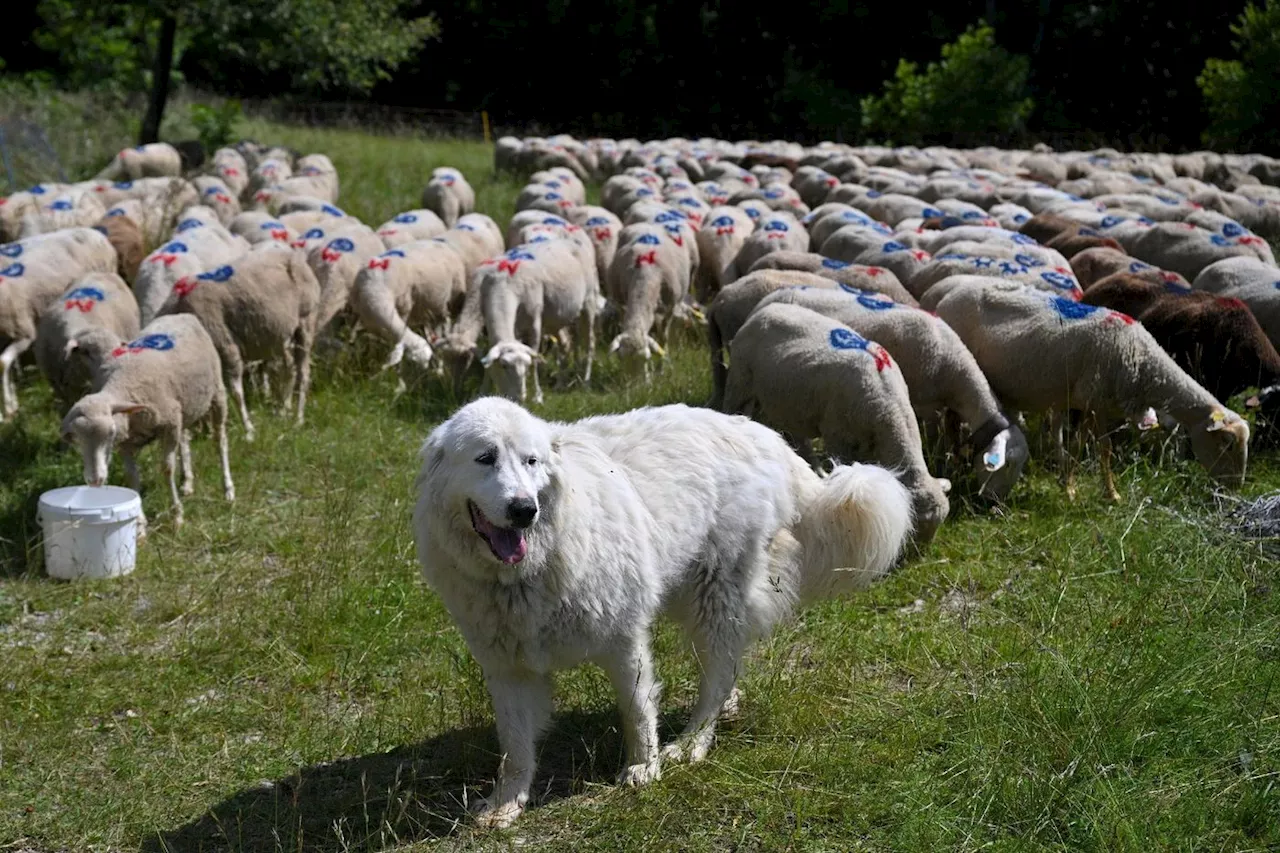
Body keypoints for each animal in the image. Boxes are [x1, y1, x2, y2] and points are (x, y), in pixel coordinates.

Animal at [59, 311, 232, 532]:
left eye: (110, 433)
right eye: (77, 439)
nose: (95, 480)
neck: (122, 386)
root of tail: (182, 315)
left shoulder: (169, 425)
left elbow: (167, 468)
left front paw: (177, 516)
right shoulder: (127, 442)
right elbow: (132, 477)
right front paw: (139, 524)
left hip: (217, 394)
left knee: (220, 440)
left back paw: (228, 489)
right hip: (184, 406)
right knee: (185, 439)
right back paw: (187, 482)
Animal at [414, 397, 916, 824]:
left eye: (531, 461)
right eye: (485, 458)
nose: (524, 509)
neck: (529, 570)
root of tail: (766, 436)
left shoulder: (623, 639)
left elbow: (637, 711)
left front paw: (644, 768)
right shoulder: (509, 668)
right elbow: (515, 747)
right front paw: (505, 804)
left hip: (713, 597)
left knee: (716, 676)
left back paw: (692, 742)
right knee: (729, 666)